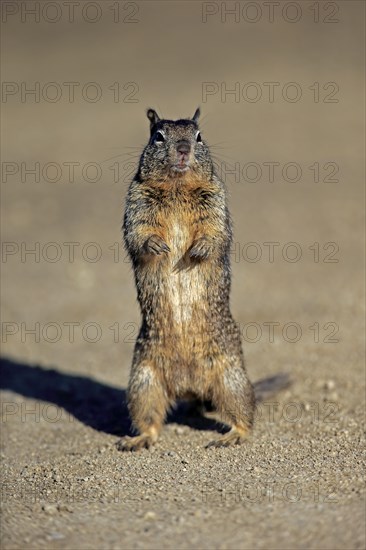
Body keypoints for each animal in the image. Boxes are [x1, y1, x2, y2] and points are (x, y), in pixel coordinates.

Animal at [118, 109, 254, 452]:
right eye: (158, 136)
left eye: (199, 136)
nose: (182, 149)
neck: (177, 187)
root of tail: (188, 388)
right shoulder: (135, 202)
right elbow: (138, 232)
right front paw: (157, 246)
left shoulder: (217, 201)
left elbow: (215, 232)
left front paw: (199, 248)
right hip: (143, 382)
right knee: (150, 420)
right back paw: (137, 439)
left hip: (232, 379)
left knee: (245, 414)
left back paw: (232, 435)